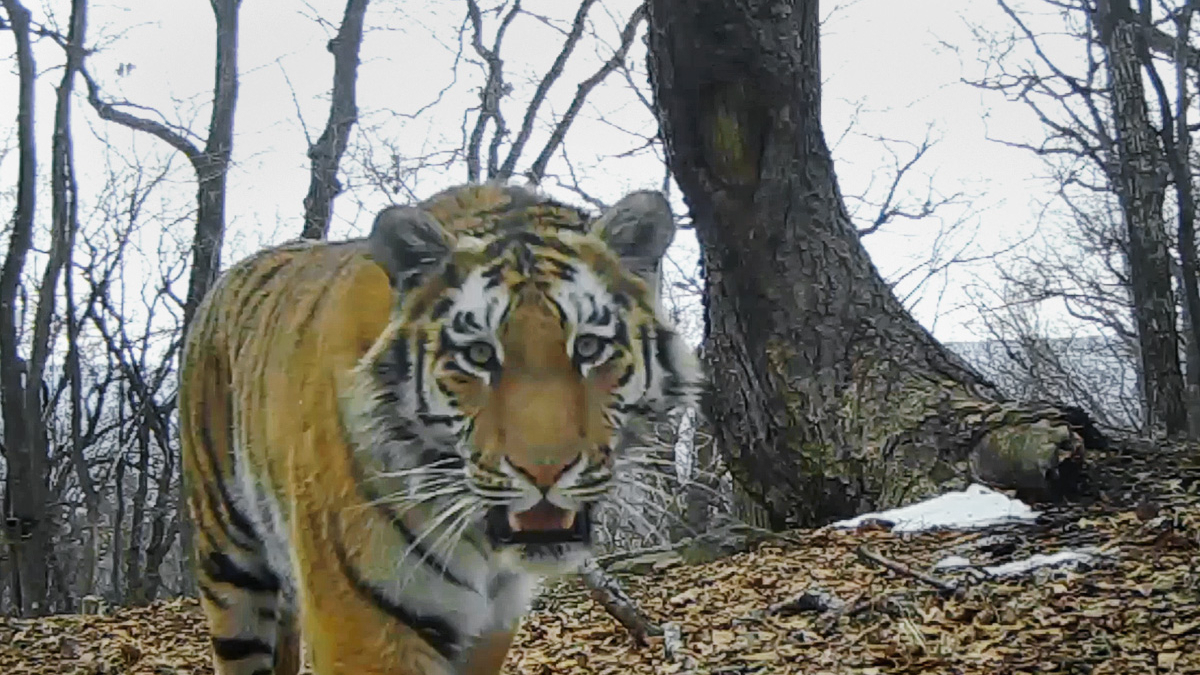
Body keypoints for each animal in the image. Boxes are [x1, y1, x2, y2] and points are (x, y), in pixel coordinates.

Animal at [177, 182, 700, 672]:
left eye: (589, 347)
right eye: (480, 354)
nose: (545, 473)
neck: (484, 551)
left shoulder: (491, 629)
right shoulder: (362, 625)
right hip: (231, 569)